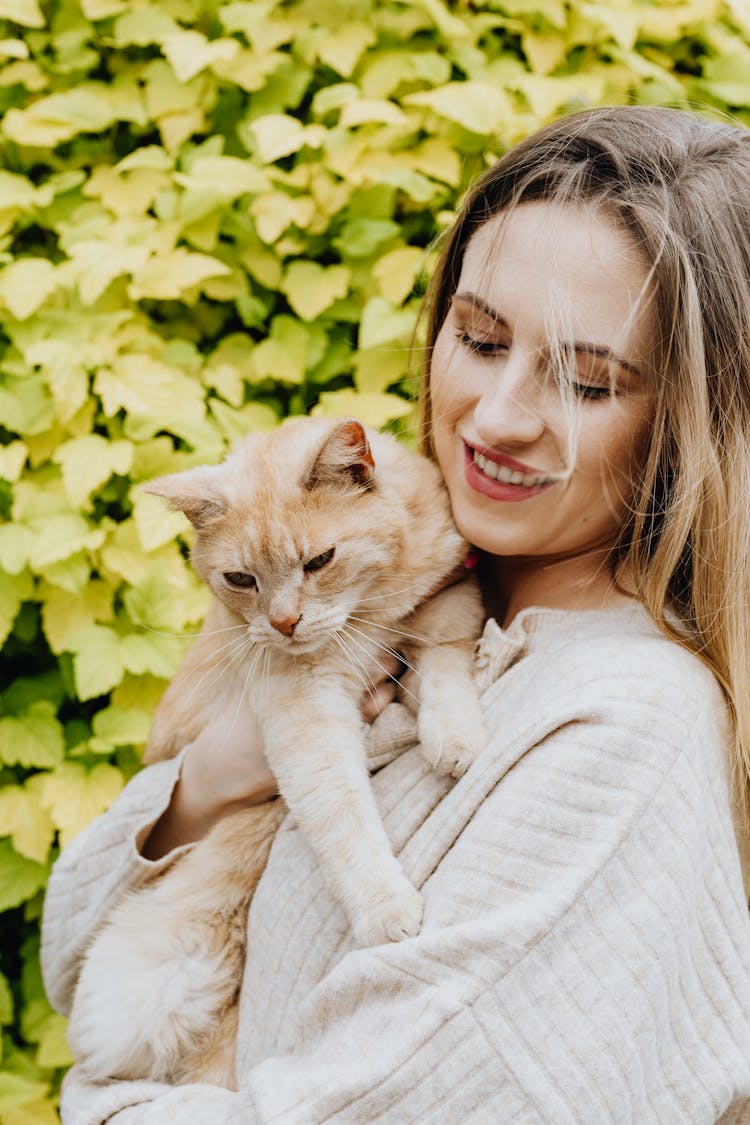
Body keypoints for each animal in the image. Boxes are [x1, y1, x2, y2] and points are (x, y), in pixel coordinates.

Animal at [66, 418, 488, 1084]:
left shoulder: (446, 614)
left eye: (320, 561)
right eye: (241, 580)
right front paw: (385, 910)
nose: (285, 624)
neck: (369, 617)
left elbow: (443, 669)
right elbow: (344, 818)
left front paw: (455, 737)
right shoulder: (306, 719)